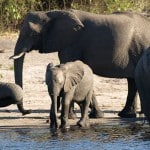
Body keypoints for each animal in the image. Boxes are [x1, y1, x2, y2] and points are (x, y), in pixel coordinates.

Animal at [9, 9, 150, 118]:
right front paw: (95, 115)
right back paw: (127, 115)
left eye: (33, 34)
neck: (50, 13)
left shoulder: (71, 44)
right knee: (132, 80)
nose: (28, 111)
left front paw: (72, 117)